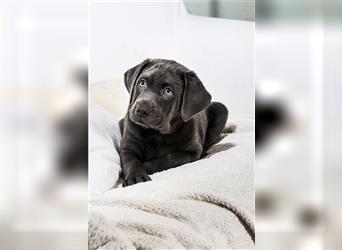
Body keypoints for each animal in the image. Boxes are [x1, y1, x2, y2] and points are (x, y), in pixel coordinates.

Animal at [119, 58, 228, 187]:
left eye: (168, 91)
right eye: (142, 83)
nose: (141, 109)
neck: (157, 133)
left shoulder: (192, 151)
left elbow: (168, 159)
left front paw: (145, 166)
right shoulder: (127, 147)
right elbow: (131, 161)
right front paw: (136, 176)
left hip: (221, 109)